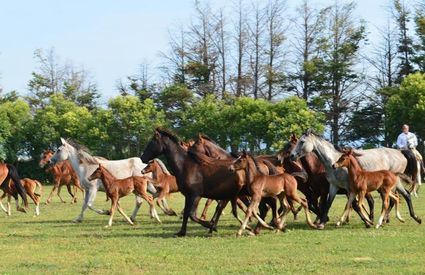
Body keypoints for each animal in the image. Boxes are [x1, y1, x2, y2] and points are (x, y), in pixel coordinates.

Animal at [288, 130, 420, 230]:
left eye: (302, 142)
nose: (292, 156)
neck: (332, 161)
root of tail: (400, 152)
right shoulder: (333, 186)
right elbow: (328, 204)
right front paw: (322, 223)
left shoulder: (348, 188)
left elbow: (354, 205)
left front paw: (367, 222)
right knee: (401, 197)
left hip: (392, 186)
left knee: (399, 198)